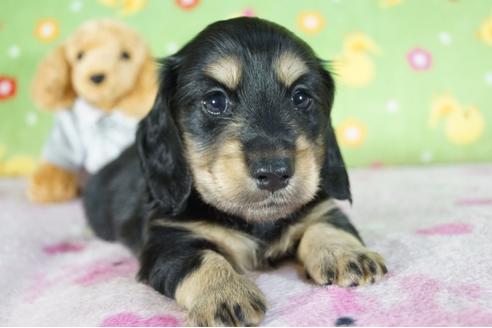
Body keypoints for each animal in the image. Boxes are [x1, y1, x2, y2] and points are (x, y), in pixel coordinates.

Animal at [82, 17, 386, 326]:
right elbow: (202, 257)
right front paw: (224, 293)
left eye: (300, 97)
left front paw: (347, 253)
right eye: (215, 101)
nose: (274, 173)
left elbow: (327, 223)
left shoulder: (320, 208)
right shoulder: (166, 240)